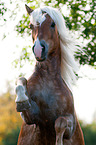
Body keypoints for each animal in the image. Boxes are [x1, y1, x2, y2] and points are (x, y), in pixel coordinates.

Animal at [15, 4, 85, 145]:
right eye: (31, 26)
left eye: (52, 24)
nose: (38, 50)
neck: (47, 80)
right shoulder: (31, 118)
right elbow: (21, 80)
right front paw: (21, 100)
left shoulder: (70, 124)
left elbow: (60, 123)